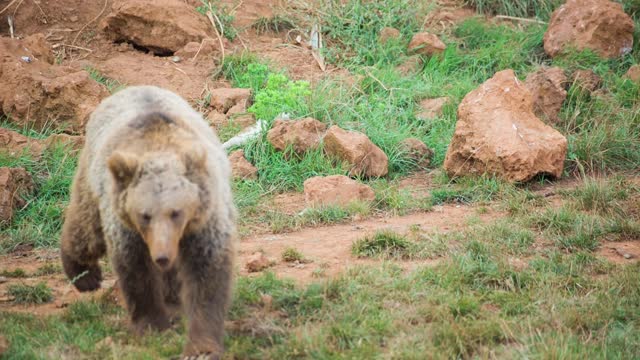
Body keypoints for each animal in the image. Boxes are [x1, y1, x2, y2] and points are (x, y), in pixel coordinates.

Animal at [60, 85, 238, 360]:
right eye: (145, 215)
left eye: (176, 212)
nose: (162, 256)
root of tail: (132, 88)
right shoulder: (127, 228)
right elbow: (137, 274)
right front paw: (153, 326)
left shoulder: (206, 221)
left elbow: (207, 279)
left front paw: (202, 347)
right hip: (97, 180)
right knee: (87, 227)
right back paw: (84, 275)